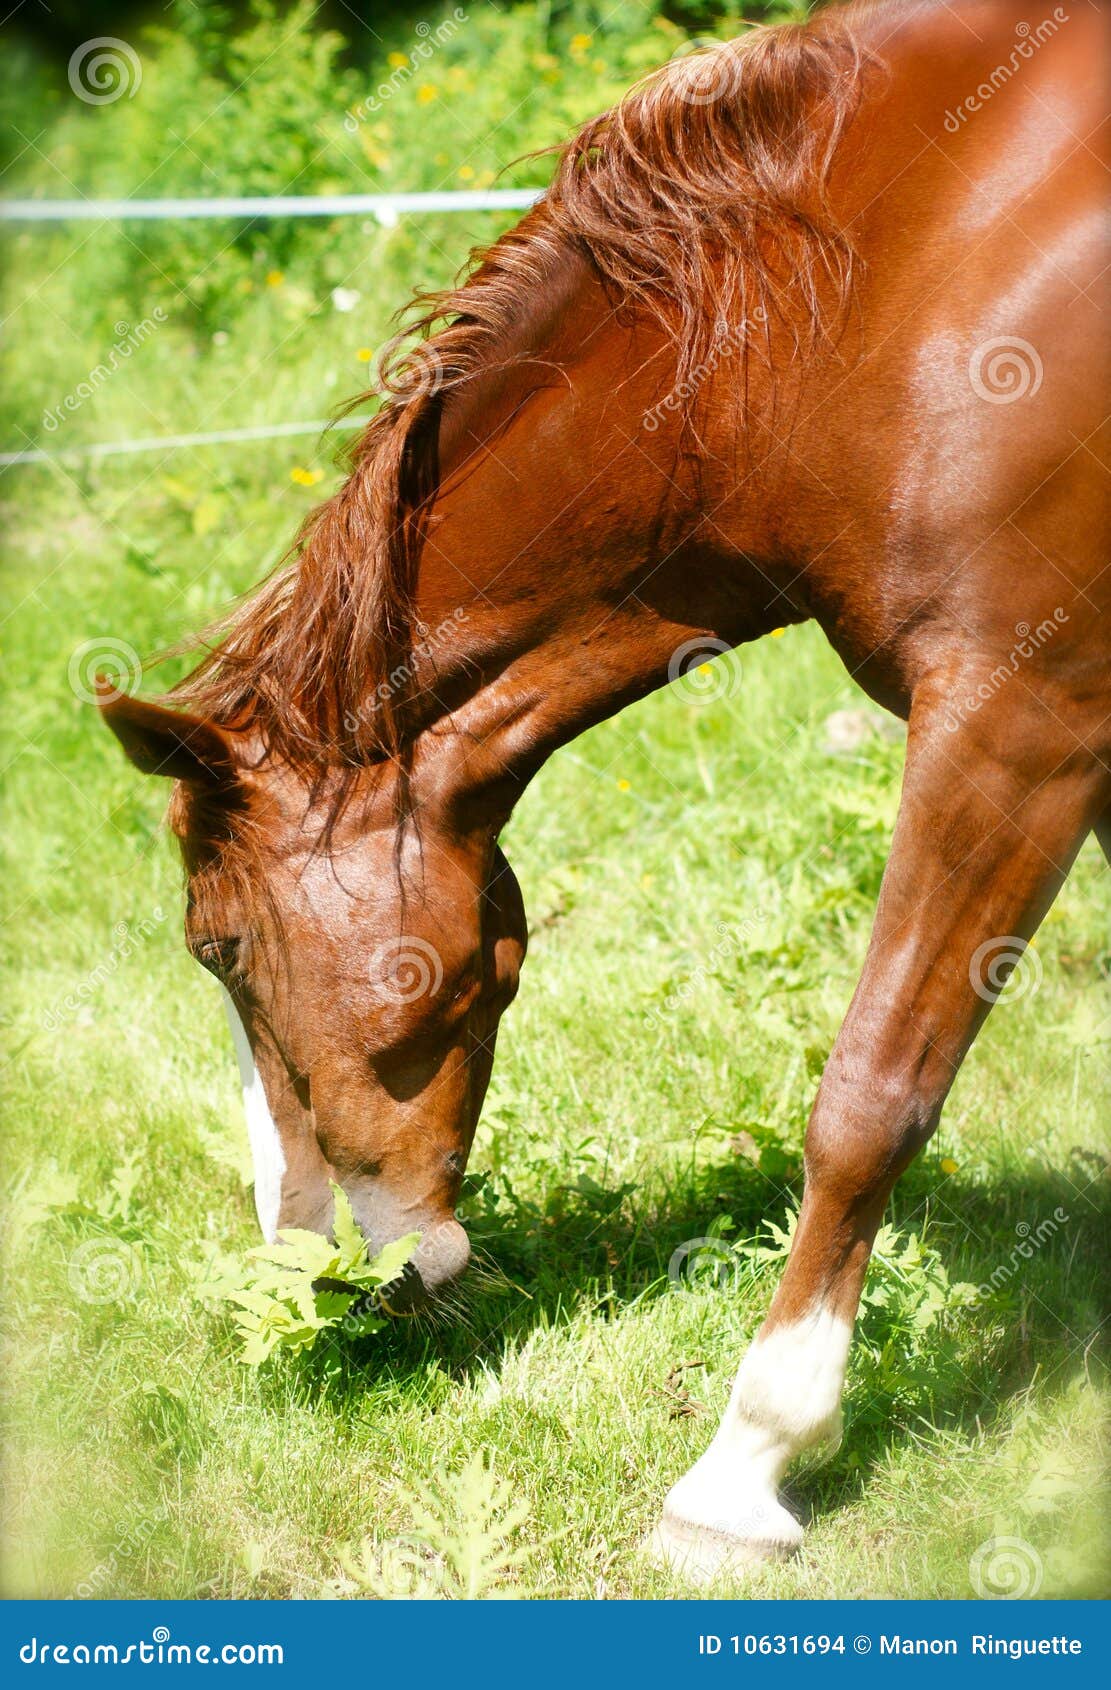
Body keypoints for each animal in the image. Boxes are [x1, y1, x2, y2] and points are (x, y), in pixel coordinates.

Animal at [98, 0, 1110, 1579]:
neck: (892, 266)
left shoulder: (1018, 725)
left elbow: (868, 1099)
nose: (310, 1254)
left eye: (220, 949)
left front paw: (744, 1470)